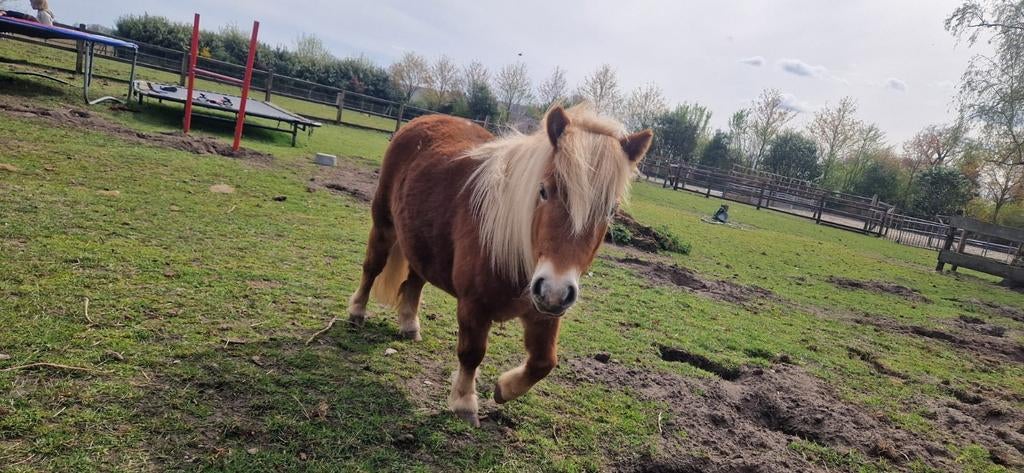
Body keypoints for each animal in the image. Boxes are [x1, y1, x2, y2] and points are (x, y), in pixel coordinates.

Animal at [348, 104, 653, 426]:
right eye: (543, 191)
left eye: (611, 210)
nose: (555, 291)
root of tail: (420, 120)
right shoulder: (473, 306)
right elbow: (472, 352)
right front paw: (464, 403)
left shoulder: (544, 313)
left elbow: (544, 362)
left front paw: (503, 388)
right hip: (384, 225)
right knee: (372, 267)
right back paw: (357, 312)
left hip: (422, 242)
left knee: (415, 281)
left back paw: (409, 325)